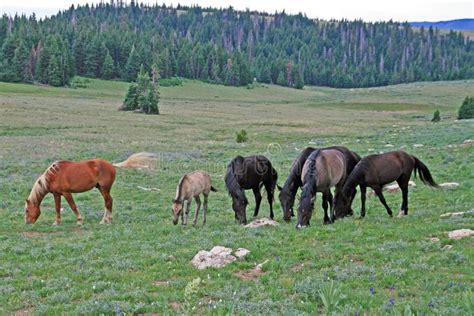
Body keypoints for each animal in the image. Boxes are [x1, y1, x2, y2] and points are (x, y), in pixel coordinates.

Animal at [24, 152, 157, 225]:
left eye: (26, 210)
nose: (27, 222)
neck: (52, 176)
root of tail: (111, 165)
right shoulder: (56, 194)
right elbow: (57, 208)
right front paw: (56, 222)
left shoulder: (67, 193)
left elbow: (73, 206)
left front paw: (79, 220)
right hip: (101, 188)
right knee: (109, 202)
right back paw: (108, 219)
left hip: (104, 188)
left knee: (108, 202)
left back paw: (105, 221)